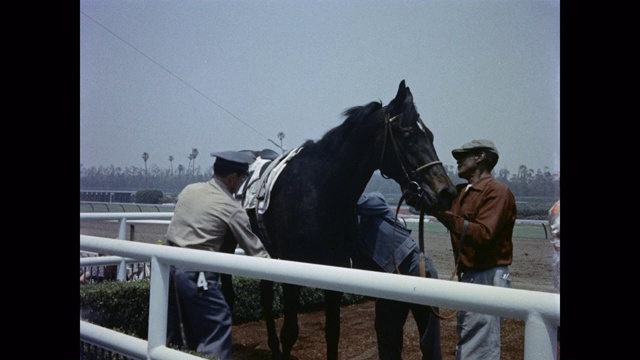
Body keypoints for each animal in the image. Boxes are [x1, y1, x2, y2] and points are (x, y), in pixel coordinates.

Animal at [245, 79, 456, 360]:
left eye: (430, 135)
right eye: (408, 136)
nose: (446, 192)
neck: (319, 192)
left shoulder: (336, 266)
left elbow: (333, 331)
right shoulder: (292, 266)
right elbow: (290, 331)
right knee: (266, 297)